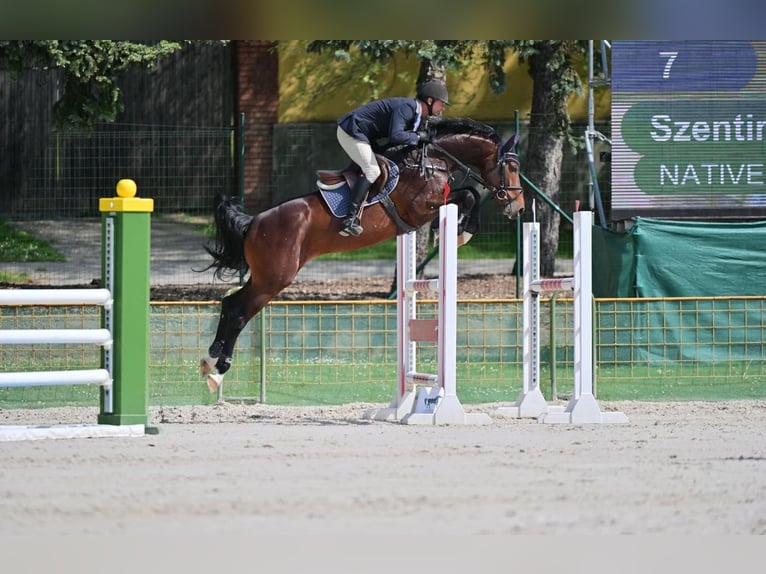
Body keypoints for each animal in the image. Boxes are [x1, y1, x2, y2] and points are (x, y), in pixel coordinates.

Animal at [198, 117, 524, 392]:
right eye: (512, 168)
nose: (518, 208)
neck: (433, 159)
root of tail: (253, 222)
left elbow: (469, 193)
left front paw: (460, 229)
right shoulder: (421, 209)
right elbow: (469, 194)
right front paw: (461, 232)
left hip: (264, 277)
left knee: (230, 304)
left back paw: (212, 360)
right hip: (274, 279)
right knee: (239, 311)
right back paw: (219, 368)